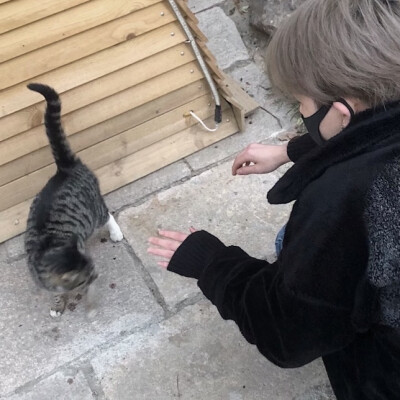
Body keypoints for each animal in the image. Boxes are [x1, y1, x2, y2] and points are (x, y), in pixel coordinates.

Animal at [24, 83, 122, 318]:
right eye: (88, 274)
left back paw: (116, 232)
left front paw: (90, 307)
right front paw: (57, 305)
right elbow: (55, 294)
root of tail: (65, 168)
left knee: (107, 214)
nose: (96, 275)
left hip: (94, 213)